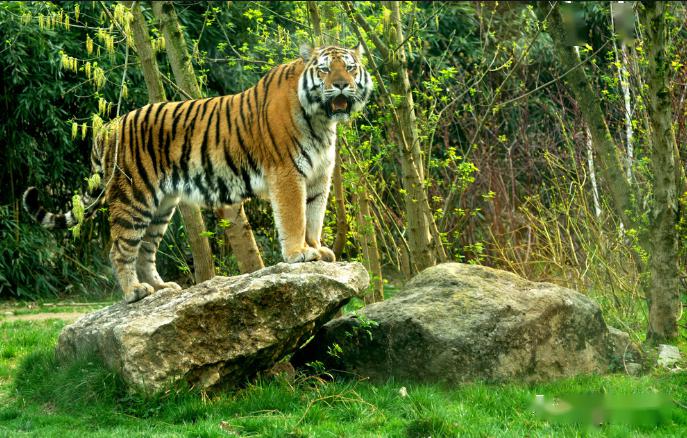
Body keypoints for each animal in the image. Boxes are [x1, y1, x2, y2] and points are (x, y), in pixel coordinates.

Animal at [24, 45, 374, 304]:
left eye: (350, 68)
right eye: (325, 69)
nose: (341, 84)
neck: (321, 121)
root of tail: (108, 128)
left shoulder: (319, 178)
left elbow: (314, 216)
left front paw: (318, 250)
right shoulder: (287, 174)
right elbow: (294, 217)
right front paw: (299, 254)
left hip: (161, 205)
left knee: (145, 250)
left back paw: (162, 288)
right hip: (132, 197)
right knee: (121, 248)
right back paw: (134, 293)